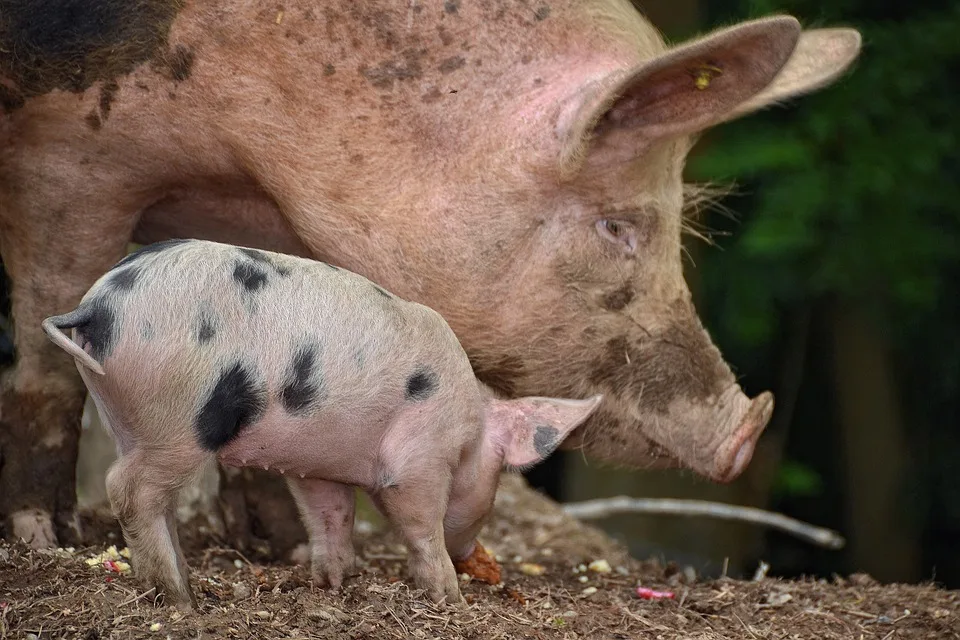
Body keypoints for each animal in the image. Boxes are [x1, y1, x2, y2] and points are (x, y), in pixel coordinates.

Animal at [0, 1, 864, 552]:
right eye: (617, 226)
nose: (746, 431)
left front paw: (279, 550)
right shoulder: (70, 154)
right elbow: (47, 353)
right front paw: (47, 542)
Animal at [45, 240, 604, 604]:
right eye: (497, 479)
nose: (474, 555)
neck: (469, 425)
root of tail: (97, 305)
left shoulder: (319, 466)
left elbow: (331, 516)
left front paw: (332, 586)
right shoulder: (420, 457)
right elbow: (419, 522)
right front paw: (451, 599)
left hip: (124, 415)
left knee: (150, 496)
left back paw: (184, 582)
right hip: (180, 418)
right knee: (128, 490)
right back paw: (181, 597)